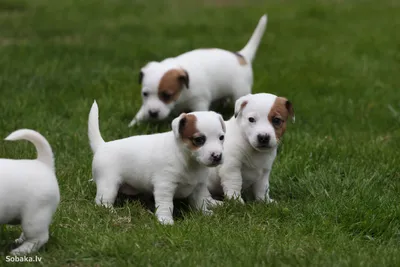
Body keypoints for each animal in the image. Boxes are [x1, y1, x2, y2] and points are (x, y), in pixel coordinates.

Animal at [88, 101, 225, 225]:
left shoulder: (199, 186)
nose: (217, 156)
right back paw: (112, 213)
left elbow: (200, 201)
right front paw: (165, 220)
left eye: (221, 137)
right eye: (199, 140)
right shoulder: (165, 186)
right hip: (108, 185)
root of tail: (102, 145)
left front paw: (205, 213)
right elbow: (166, 205)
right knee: (102, 202)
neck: (186, 159)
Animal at [129, 14, 268, 127]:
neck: (182, 92)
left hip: (240, 90)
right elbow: (141, 112)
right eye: (145, 94)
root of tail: (242, 56)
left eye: (167, 95)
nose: (152, 113)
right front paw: (133, 124)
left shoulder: (199, 101)